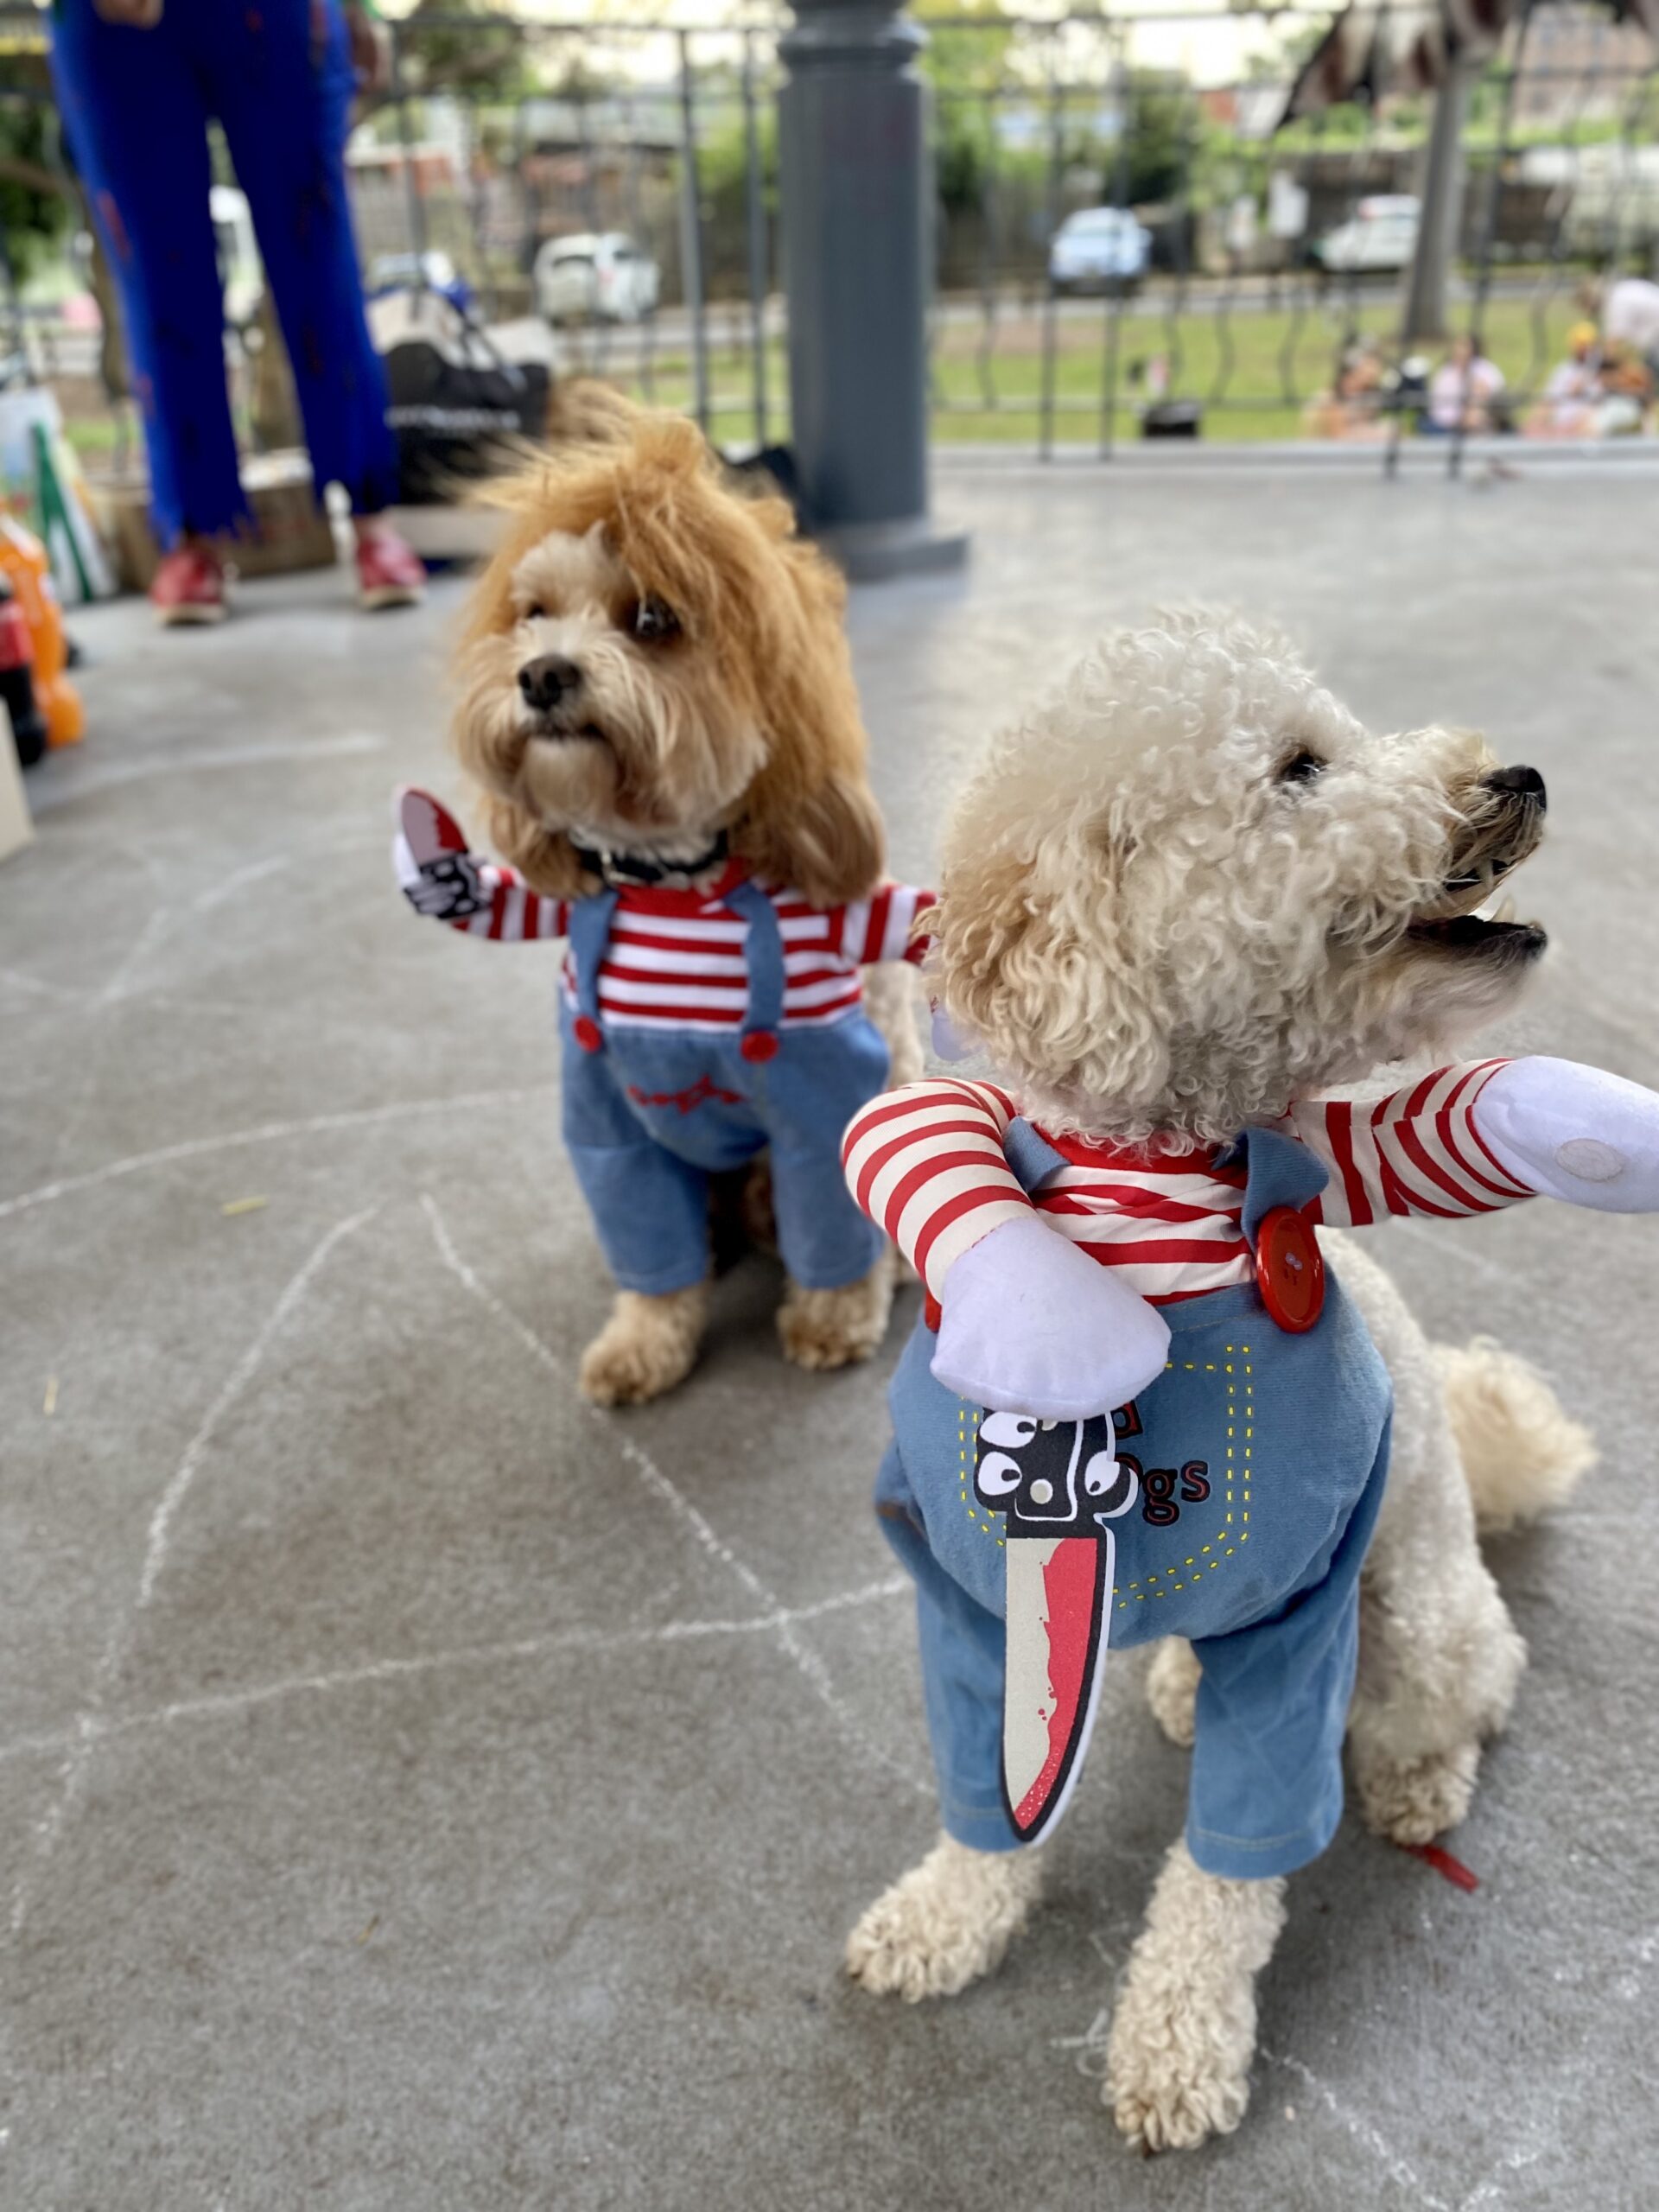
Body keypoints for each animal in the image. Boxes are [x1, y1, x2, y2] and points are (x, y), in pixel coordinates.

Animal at [451, 411, 911, 1397]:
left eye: (653, 619)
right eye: (533, 613)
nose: (540, 675)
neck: (674, 889)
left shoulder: (823, 1098)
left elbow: (833, 1238)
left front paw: (832, 1322)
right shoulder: (609, 1123)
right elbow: (650, 1253)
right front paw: (642, 1341)